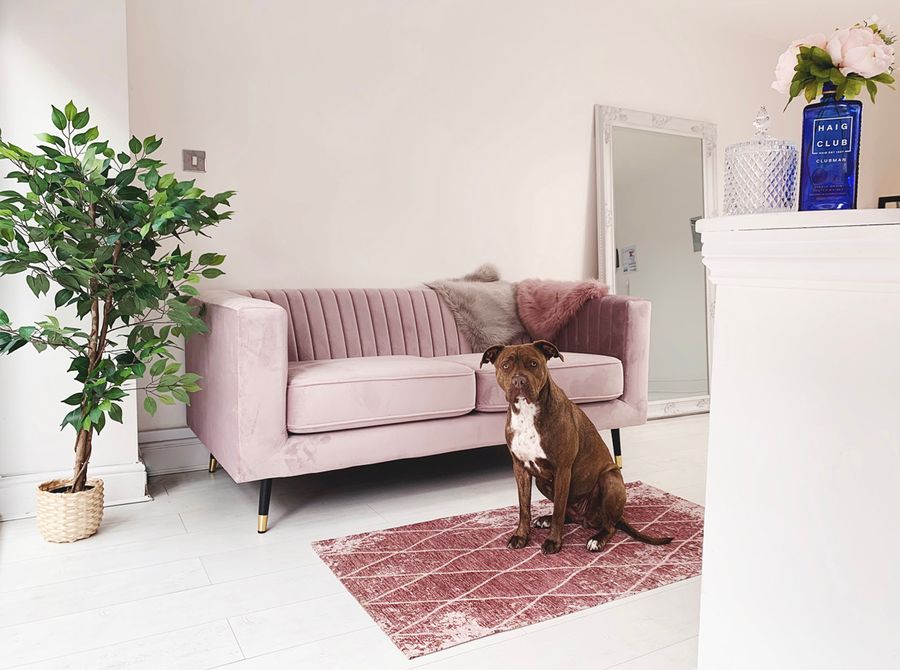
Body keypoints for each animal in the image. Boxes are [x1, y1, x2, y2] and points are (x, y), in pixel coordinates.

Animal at [482, 342, 672, 556]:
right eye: (506, 365)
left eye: (533, 364)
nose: (519, 380)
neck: (527, 413)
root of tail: (586, 518)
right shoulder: (520, 468)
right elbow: (524, 508)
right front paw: (521, 536)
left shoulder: (563, 470)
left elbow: (558, 510)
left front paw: (553, 542)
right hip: (542, 482)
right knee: (568, 513)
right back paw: (545, 520)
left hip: (610, 479)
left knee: (609, 525)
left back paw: (596, 539)